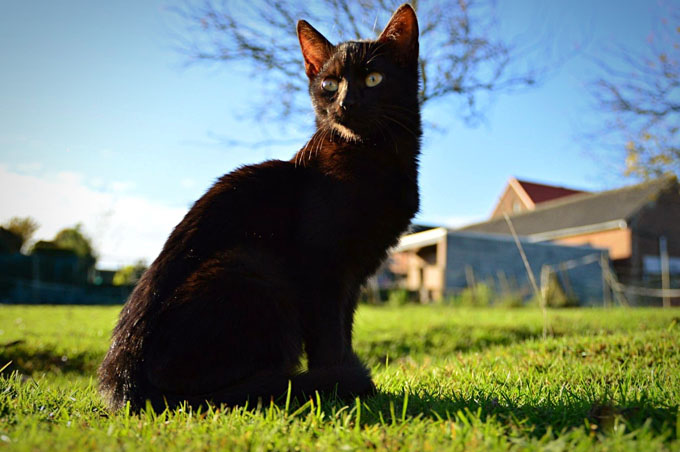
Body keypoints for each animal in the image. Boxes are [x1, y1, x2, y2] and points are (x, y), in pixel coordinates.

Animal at [98, 3, 420, 412]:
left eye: (374, 78)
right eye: (329, 85)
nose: (345, 104)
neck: (373, 153)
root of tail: (123, 383)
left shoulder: (352, 277)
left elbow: (343, 333)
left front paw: (344, 380)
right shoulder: (322, 270)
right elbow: (330, 339)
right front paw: (339, 385)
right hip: (252, 265)